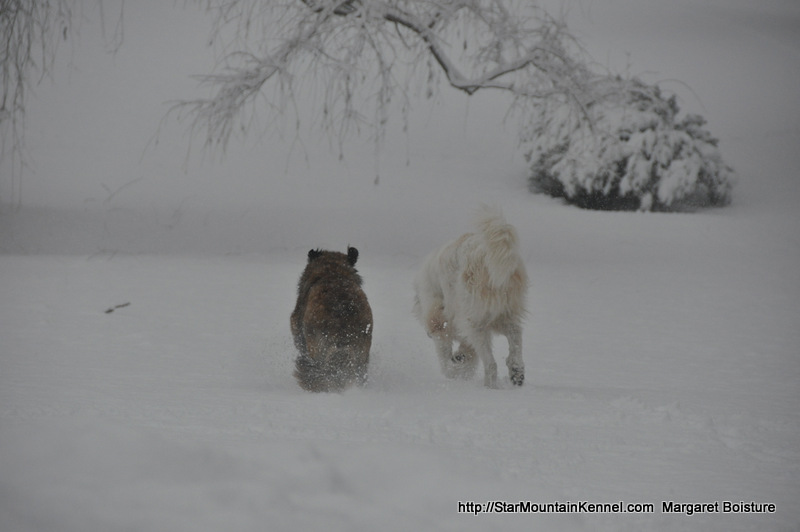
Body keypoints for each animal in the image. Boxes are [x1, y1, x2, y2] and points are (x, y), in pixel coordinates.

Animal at [416, 205, 528, 386]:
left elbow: (445, 359)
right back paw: (516, 373)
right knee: (515, 341)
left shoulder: (439, 321)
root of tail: (483, 255)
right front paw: (460, 358)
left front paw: (454, 369)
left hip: (475, 322)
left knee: (491, 364)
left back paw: (490, 385)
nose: (427, 334)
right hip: (507, 314)